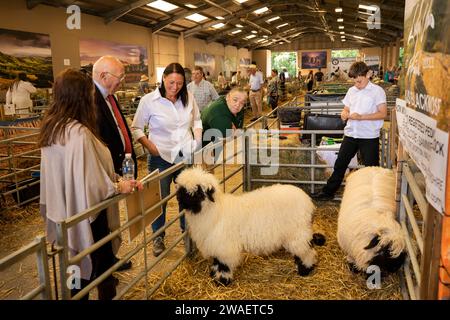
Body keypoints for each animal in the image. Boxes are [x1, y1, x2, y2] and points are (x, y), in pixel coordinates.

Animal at [174, 168, 326, 284]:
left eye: (198, 192)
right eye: (181, 190)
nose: (180, 201)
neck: (214, 211)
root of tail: (308, 201)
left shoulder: (224, 247)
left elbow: (223, 266)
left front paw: (222, 282)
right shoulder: (216, 245)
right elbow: (216, 263)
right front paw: (214, 276)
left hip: (297, 232)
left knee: (307, 252)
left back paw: (305, 270)